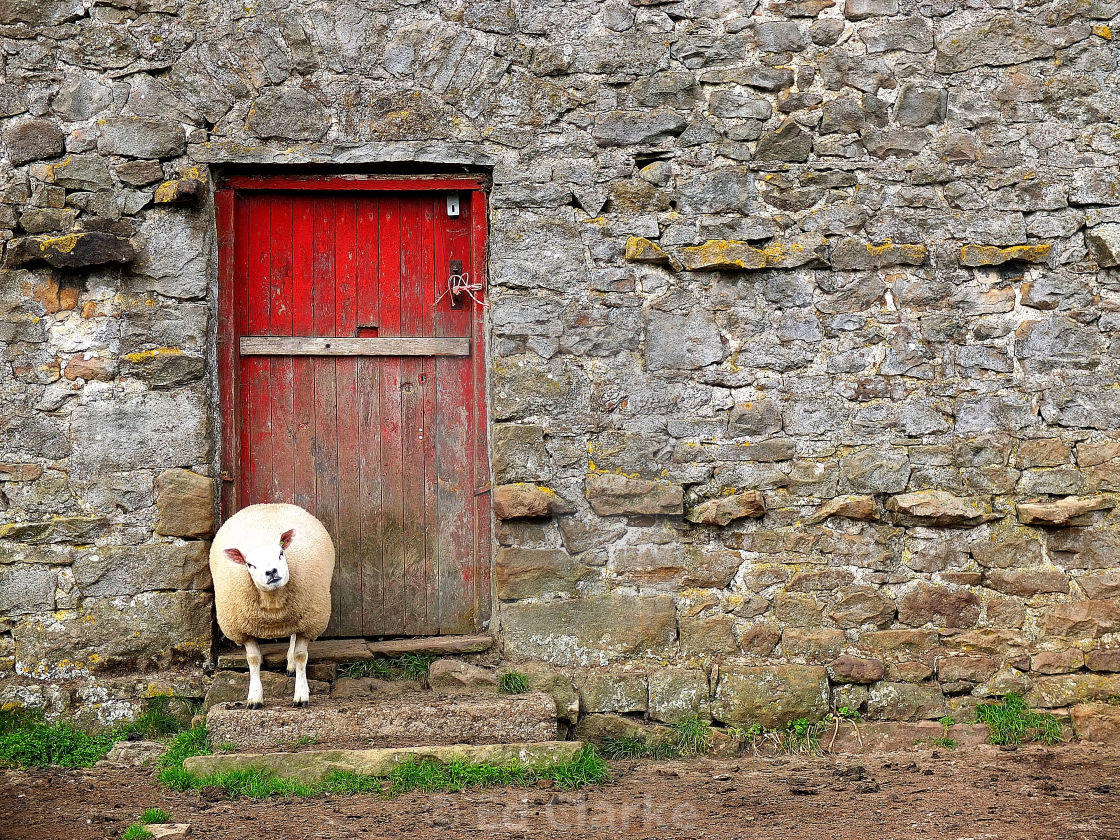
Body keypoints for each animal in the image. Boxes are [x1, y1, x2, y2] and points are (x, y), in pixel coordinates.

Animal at [208, 506, 333, 712]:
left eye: (281, 553)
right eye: (249, 564)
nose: (271, 572)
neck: (273, 603)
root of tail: (269, 504)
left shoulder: (308, 623)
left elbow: (301, 656)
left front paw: (301, 695)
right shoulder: (243, 630)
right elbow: (252, 660)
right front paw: (254, 698)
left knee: (293, 637)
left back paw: (291, 664)